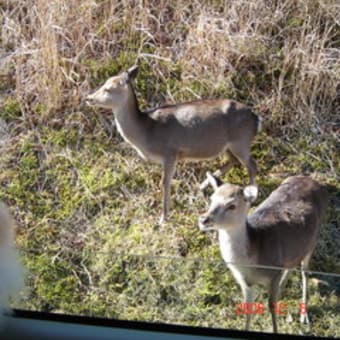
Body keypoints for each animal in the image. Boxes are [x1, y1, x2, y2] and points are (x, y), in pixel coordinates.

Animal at [86, 65, 262, 224]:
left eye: (108, 89)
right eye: (104, 83)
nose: (89, 98)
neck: (146, 132)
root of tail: (256, 118)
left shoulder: (170, 153)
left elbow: (164, 182)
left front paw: (163, 218)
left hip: (241, 141)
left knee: (252, 165)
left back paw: (250, 196)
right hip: (227, 145)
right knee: (234, 161)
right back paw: (202, 186)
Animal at [198, 174, 328, 334]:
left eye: (232, 205)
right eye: (211, 199)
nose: (204, 219)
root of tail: (315, 181)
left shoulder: (273, 274)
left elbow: (270, 306)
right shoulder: (244, 282)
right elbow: (247, 308)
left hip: (313, 241)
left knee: (304, 272)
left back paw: (304, 316)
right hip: (294, 251)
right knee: (291, 266)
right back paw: (282, 292)